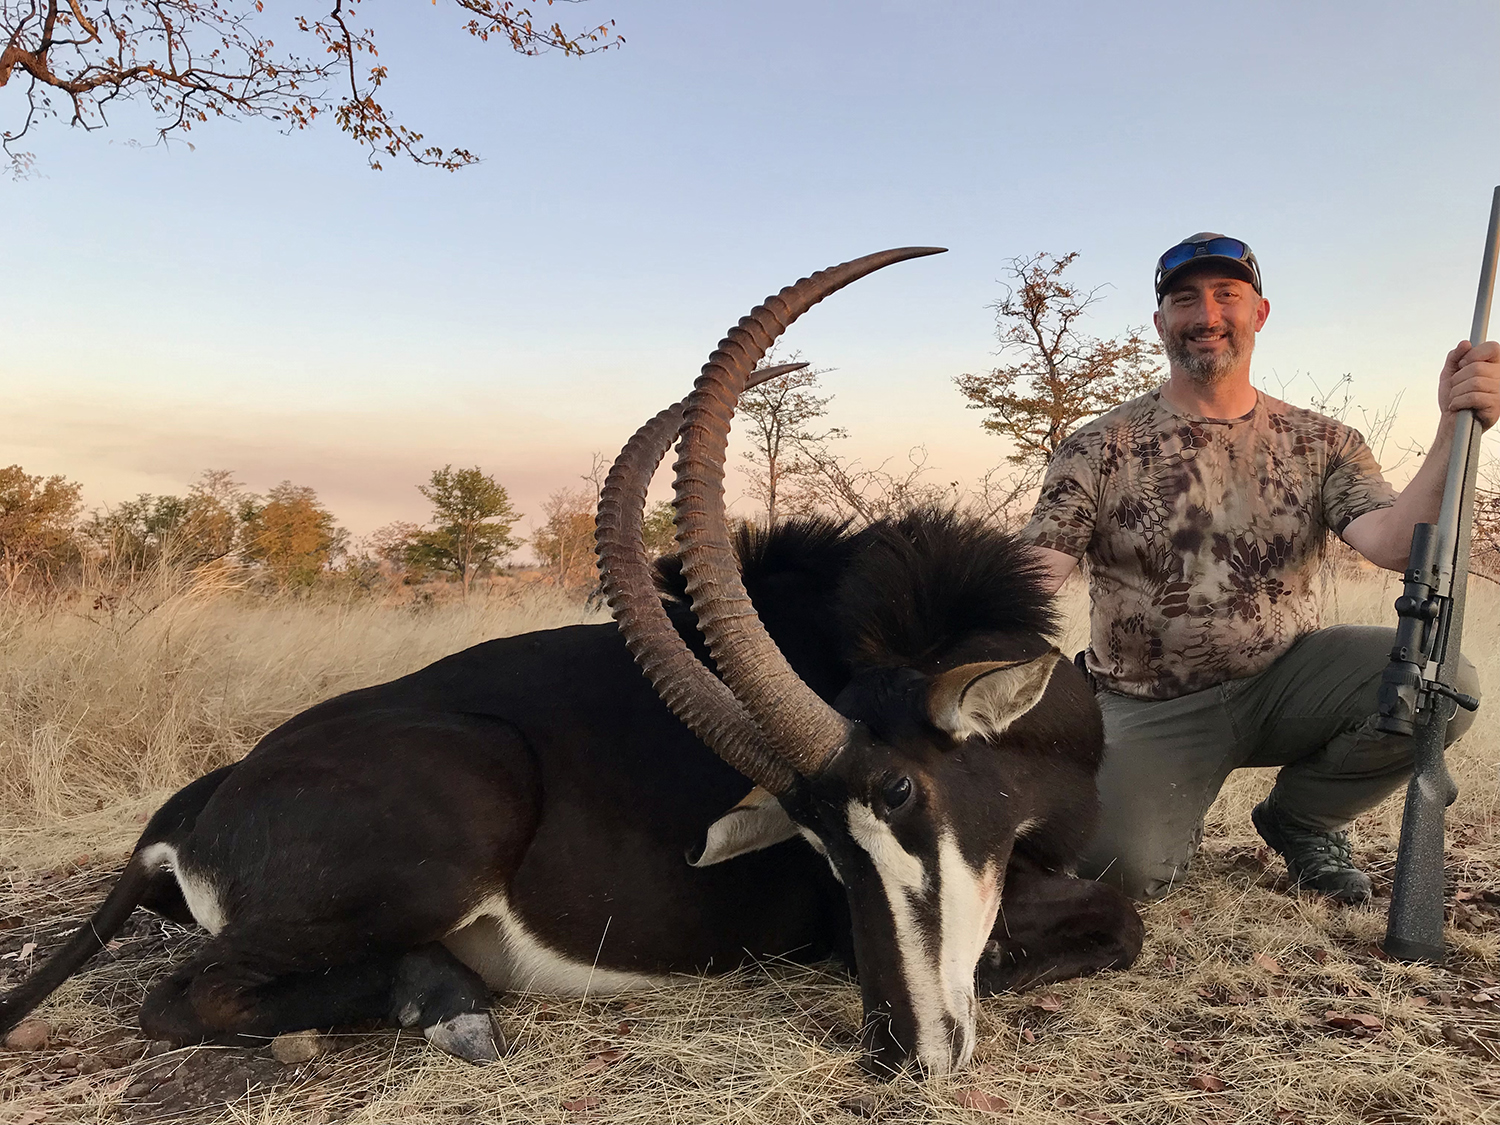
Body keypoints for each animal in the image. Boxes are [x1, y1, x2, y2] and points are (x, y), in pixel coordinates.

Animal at [0, 250, 1140, 1080]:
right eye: (818, 846)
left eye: (900, 792)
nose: (905, 1051)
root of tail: (195, 805)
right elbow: (1116, 921)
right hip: (464, 810)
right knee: (182, 996)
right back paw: (450, 1006)